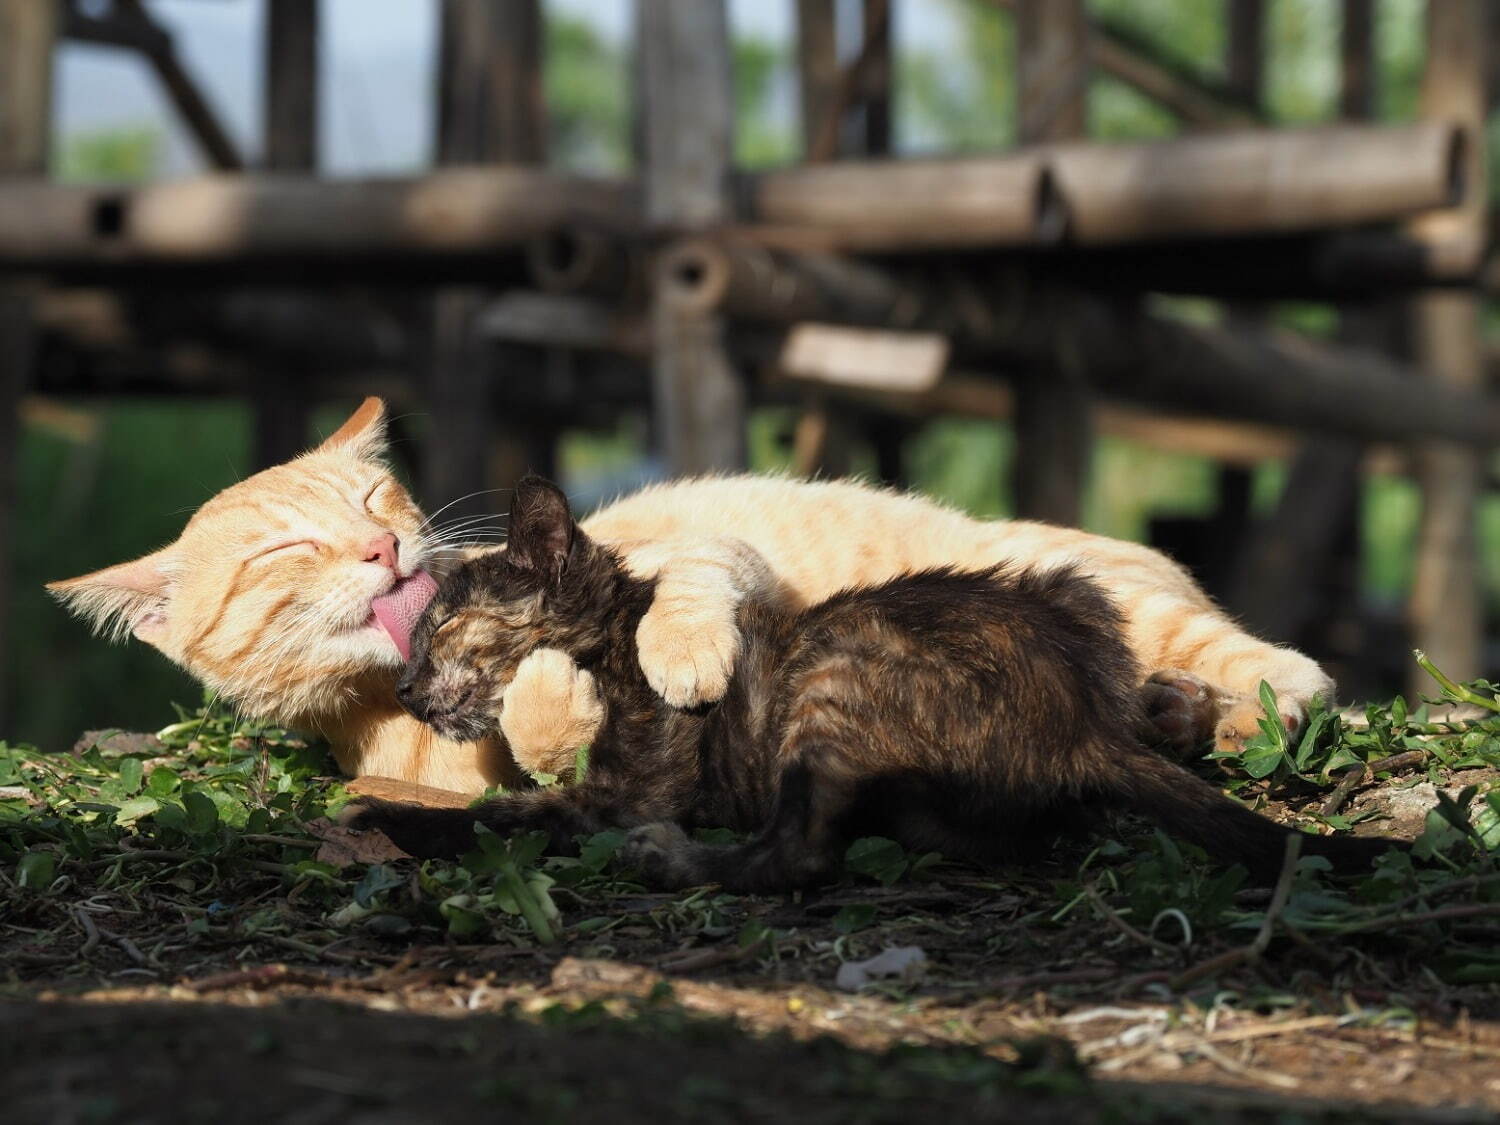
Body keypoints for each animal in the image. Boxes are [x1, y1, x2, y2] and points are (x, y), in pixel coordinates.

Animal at [52, 396, 1332, 792]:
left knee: (1271, 667)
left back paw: (1267, 689)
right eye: (284, 553)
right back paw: (1182, 715)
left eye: (375, 501)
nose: (384, 551)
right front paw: (548, 707)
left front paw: (667, 658)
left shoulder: (710, 550)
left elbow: (681, 594)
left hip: (1128, 599)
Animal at [345, 477, 1398, 888]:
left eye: (440, 629)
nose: (407, 693)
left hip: (850, 667)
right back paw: (1171, 712)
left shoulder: (624, 780)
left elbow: (506, 805)